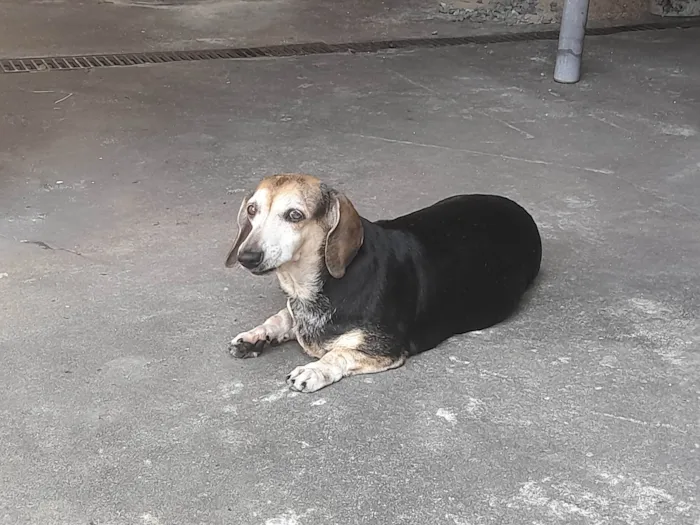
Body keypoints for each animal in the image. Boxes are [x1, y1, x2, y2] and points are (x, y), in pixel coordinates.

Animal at [224, 174, 540, 390]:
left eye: (294, 215)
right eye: (252, 210)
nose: (247, 256)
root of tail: (519, 209)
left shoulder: (385, 348)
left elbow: (338, 353)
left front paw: (314, 370)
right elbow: (281, 318)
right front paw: (256, 336)